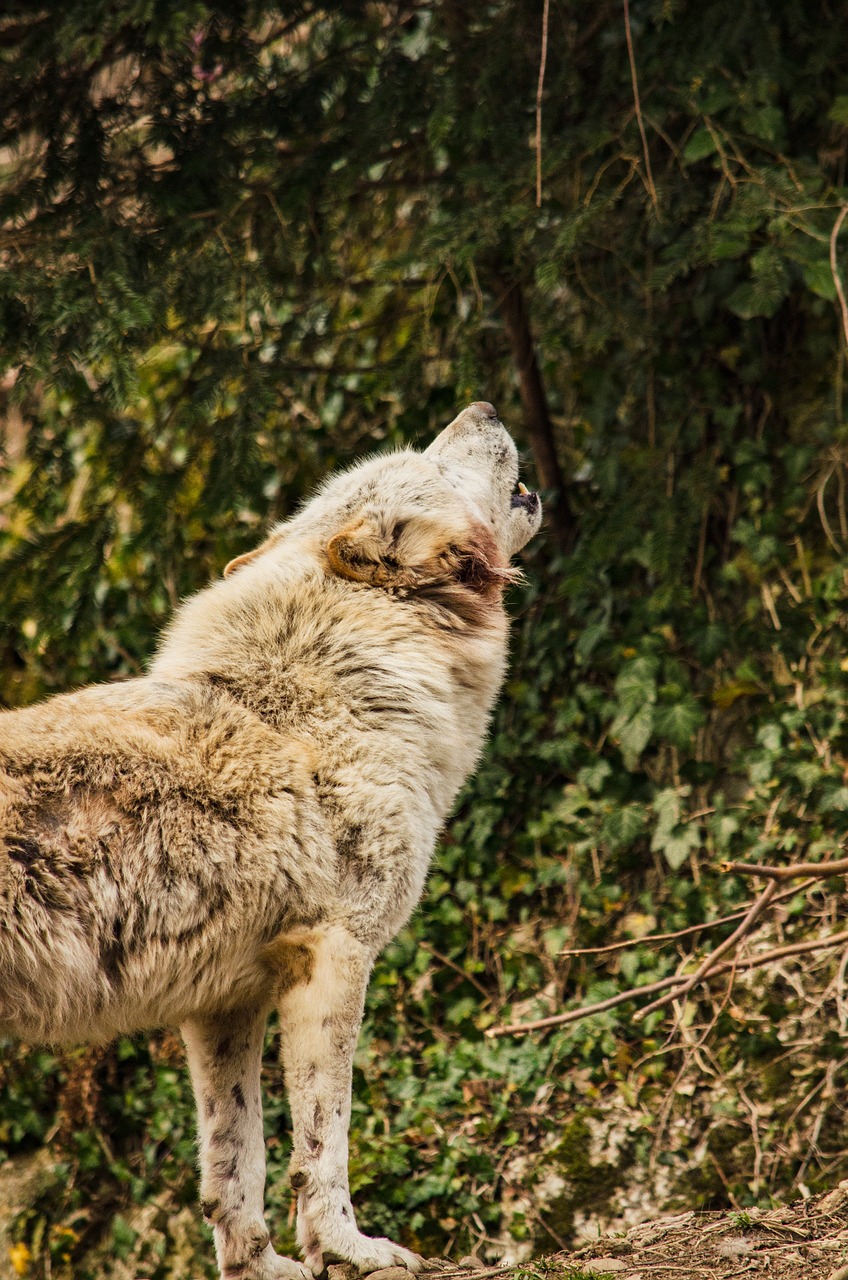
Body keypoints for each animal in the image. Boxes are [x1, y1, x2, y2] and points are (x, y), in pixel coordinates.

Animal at [0, 404, 545, 1280]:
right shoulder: (334, 961)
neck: (342, 693)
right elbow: (324, 1143)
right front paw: (351, 1249)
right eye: (429, 460)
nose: (484, 409)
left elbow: (235, 1165)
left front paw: (260, 1268)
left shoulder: (222, 1005)